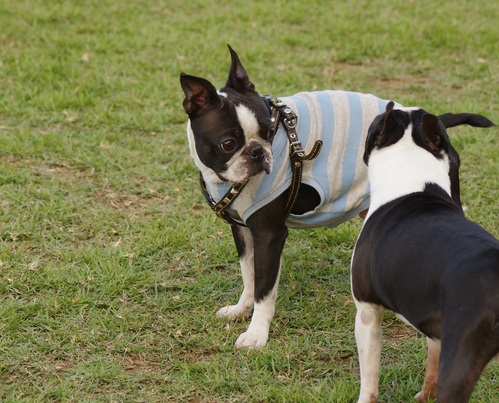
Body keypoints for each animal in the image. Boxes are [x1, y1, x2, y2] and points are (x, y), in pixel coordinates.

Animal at [179, 45, 492, 350]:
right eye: (228, 144)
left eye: (270, 132)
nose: (259, 152)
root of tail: (434, 122)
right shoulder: (243, 231)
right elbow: (249, 275)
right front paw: (241, 310)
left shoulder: (269, 234)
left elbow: (264, 288)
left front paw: (257, 334)